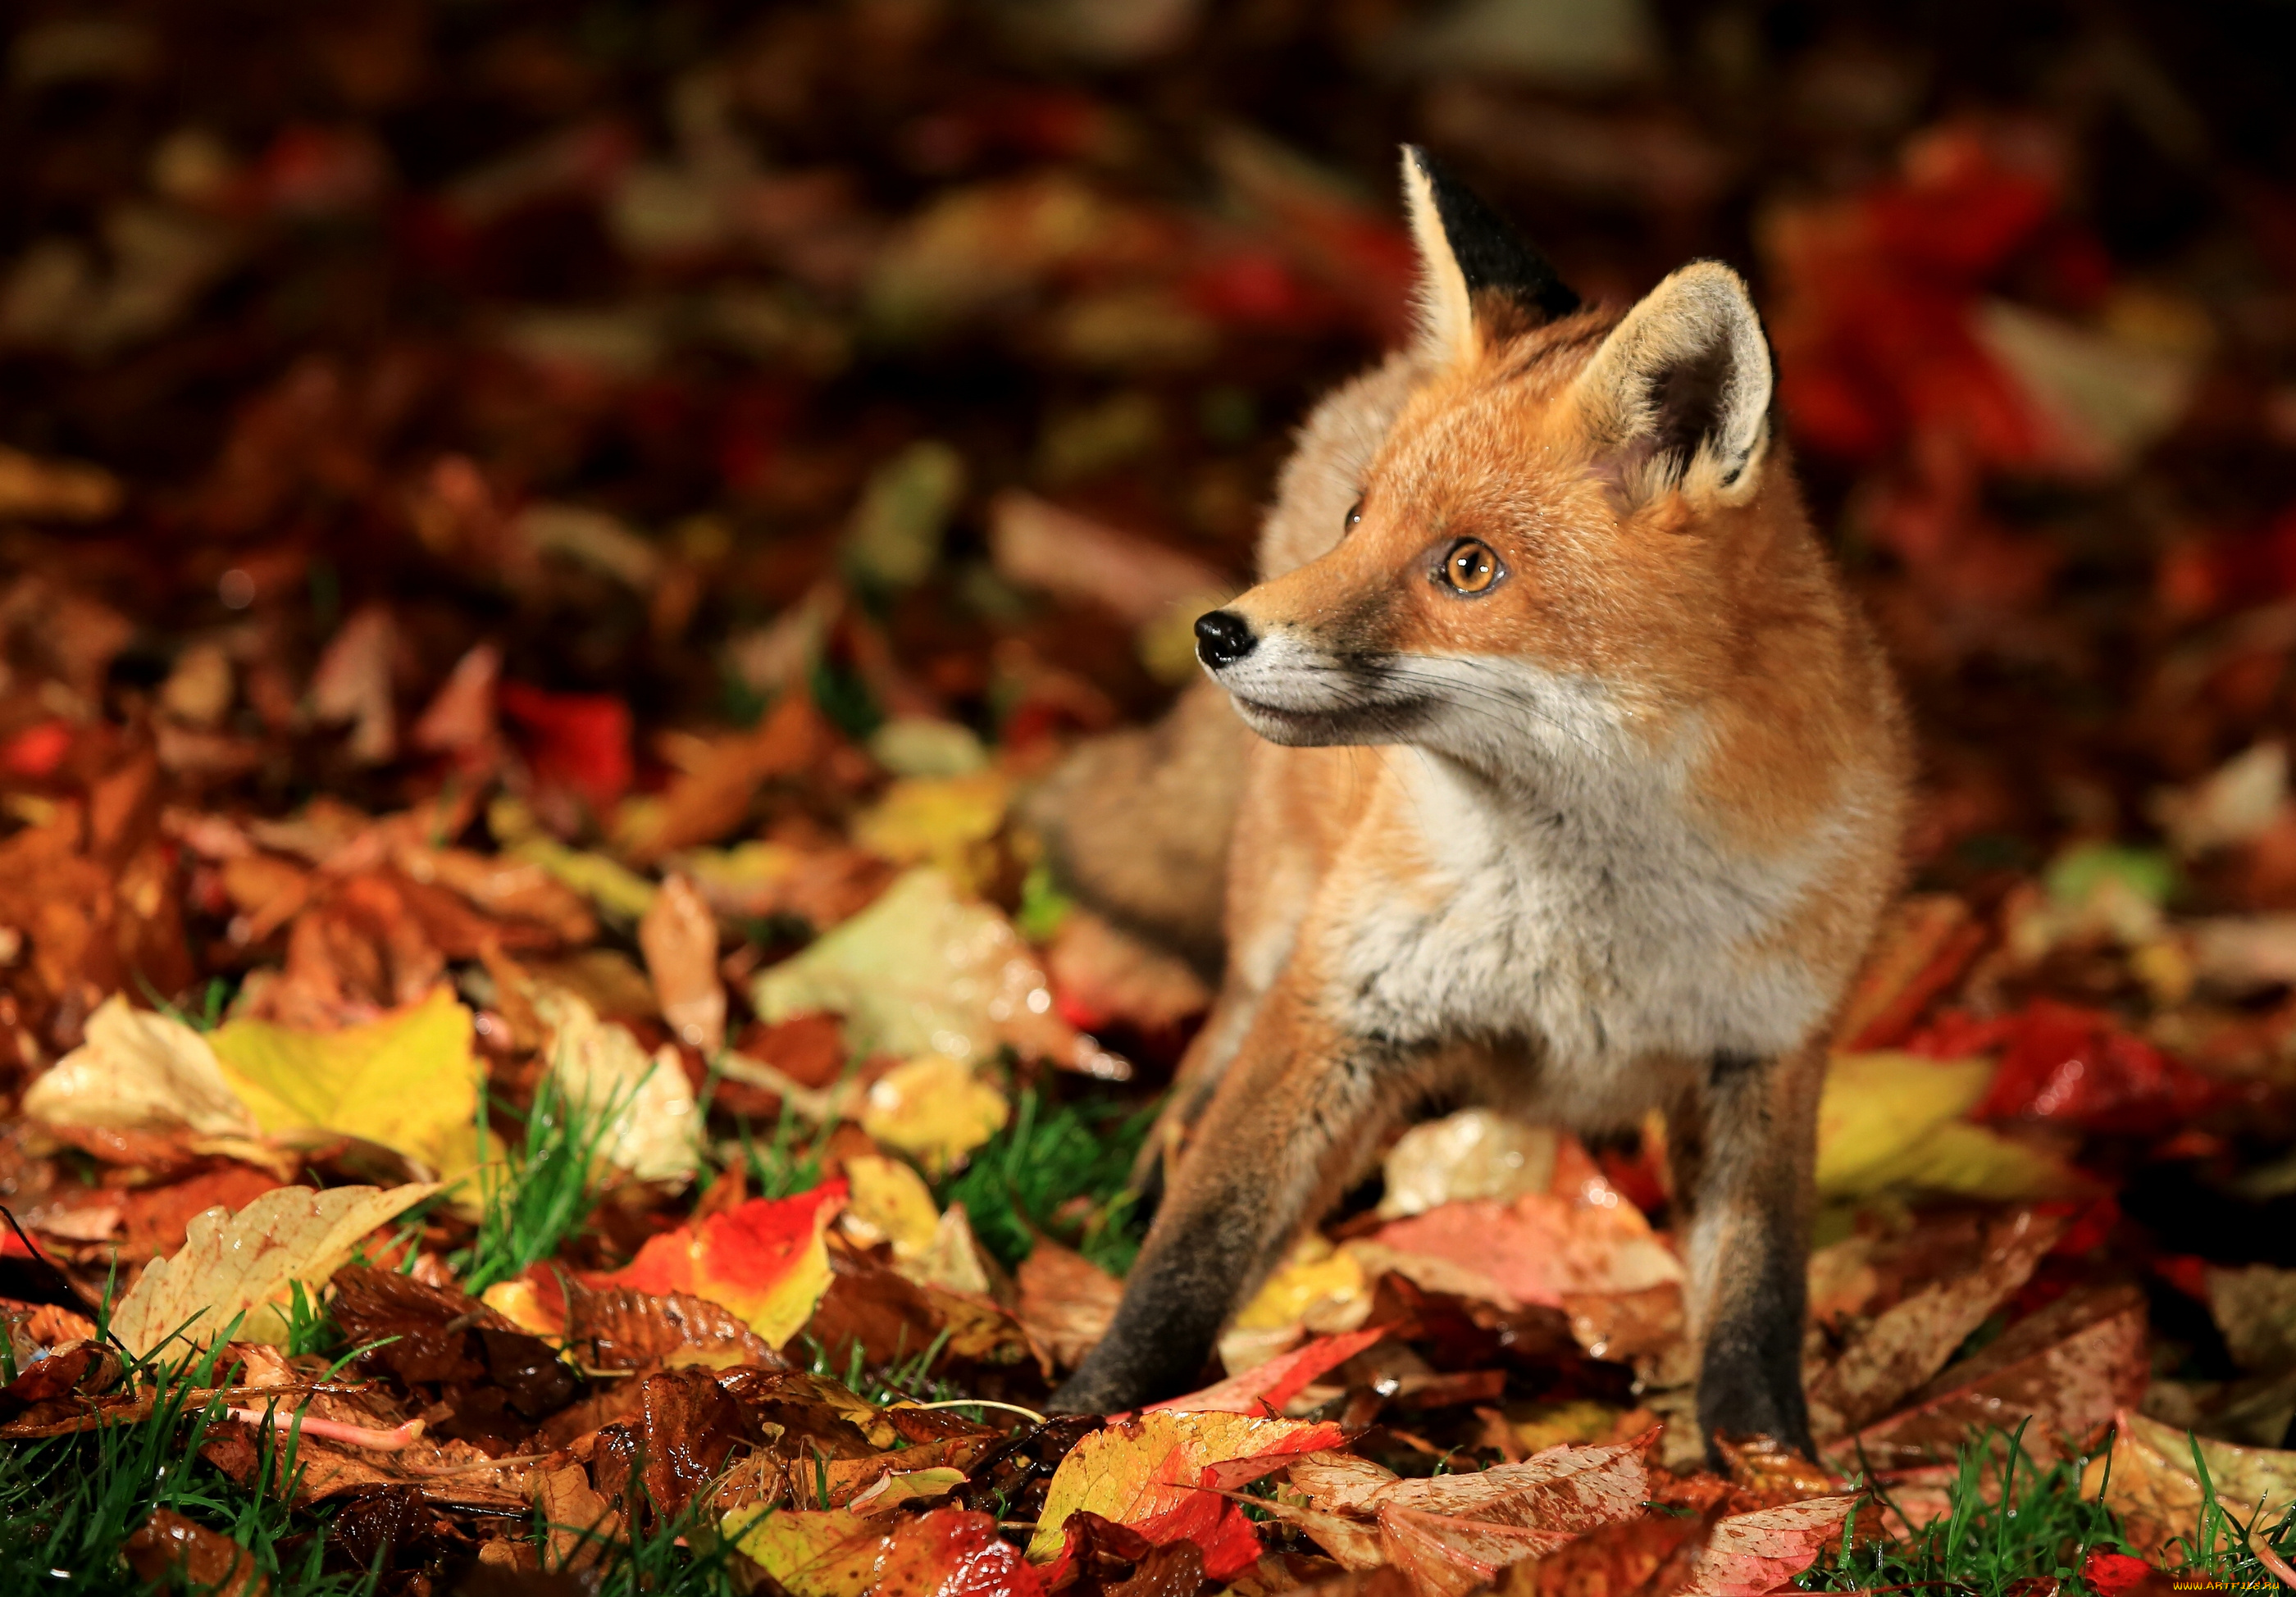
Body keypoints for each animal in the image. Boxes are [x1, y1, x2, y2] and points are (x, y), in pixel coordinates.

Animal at [1033, 148, 1910, 1459]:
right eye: (1360, 521)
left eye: (1467, 567)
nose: (1218, 633)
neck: (1592, 926)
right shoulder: (1341, 1004)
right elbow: (1196, 1250)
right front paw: (1079, 1427)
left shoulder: (1763, 1052)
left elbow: (1757, 1308)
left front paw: (1773, 1474)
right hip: (1280, 922)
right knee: (1207, 1064)